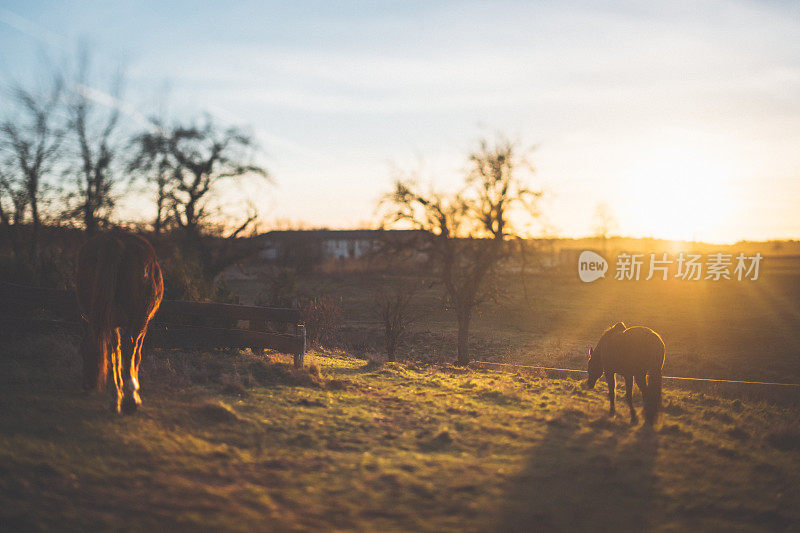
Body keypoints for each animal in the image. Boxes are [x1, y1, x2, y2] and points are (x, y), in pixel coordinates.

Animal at [76, 231, 163, 414]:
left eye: (82, 352)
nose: (87, 386)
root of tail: (113, 240)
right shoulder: (142, 325)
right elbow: (135, 355)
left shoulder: (112, 324)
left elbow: (114, 354)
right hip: (138, 320)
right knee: (130, 349)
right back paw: (130, 400)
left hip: (105, 318)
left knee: (111, 350)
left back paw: (115, 398)